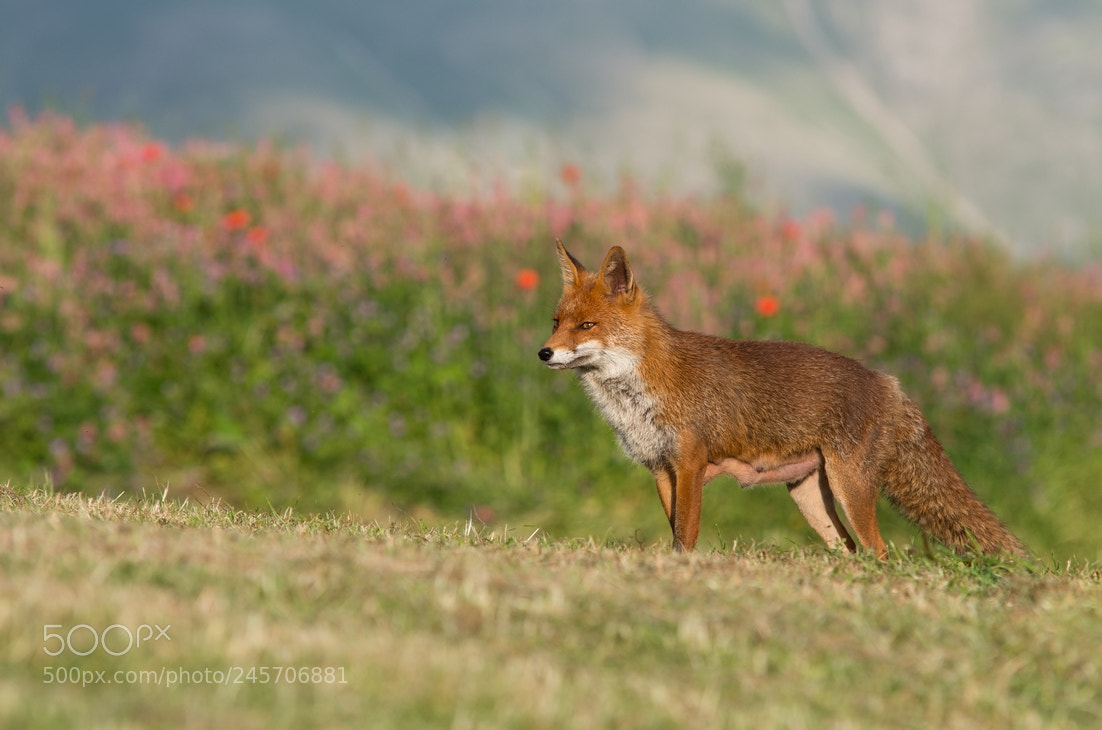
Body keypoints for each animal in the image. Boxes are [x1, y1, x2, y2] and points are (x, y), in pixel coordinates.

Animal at [538, 241, 1027, 559]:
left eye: (587, 326)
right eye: (556, 322)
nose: (544, 353)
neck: (637, 396)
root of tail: (888, 382)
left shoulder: (690, 464)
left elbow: (686, 535)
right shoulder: (661, 469)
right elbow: (674, 529)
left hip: (850, 490)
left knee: (881, 552)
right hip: (811, 498)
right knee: (853, 552)